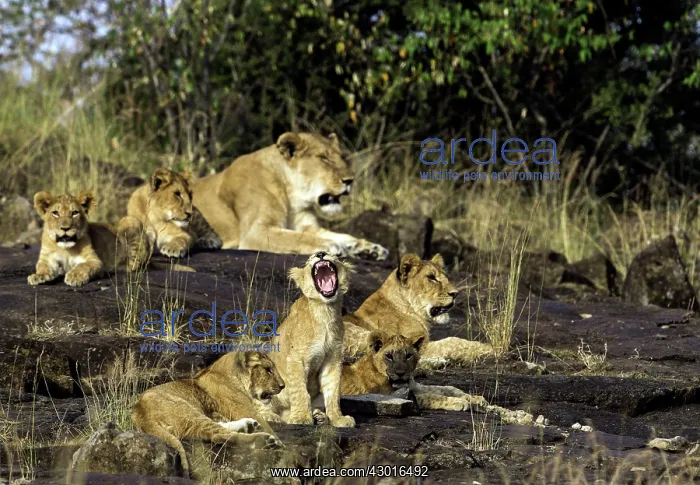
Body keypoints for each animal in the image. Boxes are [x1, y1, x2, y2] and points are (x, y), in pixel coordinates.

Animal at [131, 351, 284, 477]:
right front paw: (284, 448)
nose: (283, 386)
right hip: (188, 410)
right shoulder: (245, 409)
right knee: (219, 435)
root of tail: (139, 412)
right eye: (268, 370)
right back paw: (264, 440)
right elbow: (269, 428)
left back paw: (249, 425)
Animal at [191, 132, 388, 260]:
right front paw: (330, 245)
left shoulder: (310, 226)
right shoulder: (255, 232)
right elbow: (296, 237)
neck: (293, 196)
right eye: (324, 159)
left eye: (342, 157)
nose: (350, 180)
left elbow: (342, 235)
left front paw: (371, 248)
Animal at [263, 251, 355, 427]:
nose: (320, 254)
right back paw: (273, 417)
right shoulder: (295, 359)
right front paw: (300, 418)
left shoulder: (332, 360)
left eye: (332, 254)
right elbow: (300, 390)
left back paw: (319, 416)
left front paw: (338, 419)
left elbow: (333, 393)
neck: (325, 311)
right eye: (310, 258)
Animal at [343, 253, 493, 365]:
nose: (455, 293)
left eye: (445, 277)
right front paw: (487, 348)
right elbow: (451, 342)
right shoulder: (419, 344)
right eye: (432, 278)